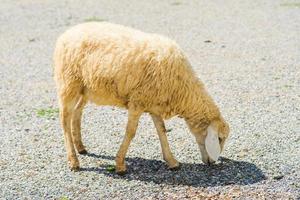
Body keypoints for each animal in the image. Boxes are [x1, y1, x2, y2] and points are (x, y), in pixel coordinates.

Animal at [53, 21, 230, 174]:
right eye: (219, 138)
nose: (213, 162)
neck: (182, 89)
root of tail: (67, 33)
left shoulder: (154, 104)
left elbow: (162, 131)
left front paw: (171, 161)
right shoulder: (137, 101)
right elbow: (131, 132)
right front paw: (120, 164)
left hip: (85, 88)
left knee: (77, 113)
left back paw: (80, 147)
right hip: (69, 83)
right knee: (64, 119)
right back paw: (73, 161)